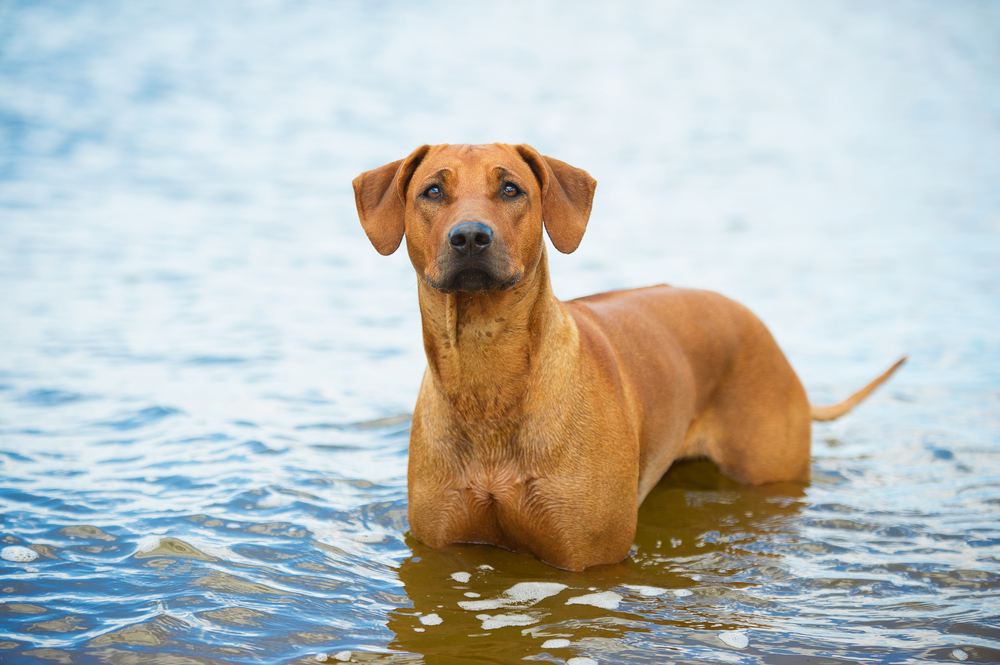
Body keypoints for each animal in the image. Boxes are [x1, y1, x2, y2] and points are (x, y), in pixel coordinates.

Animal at [354, 143, 908, 568]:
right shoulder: (441, 550)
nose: (470, 236)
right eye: (433, 191)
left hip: (768, 469)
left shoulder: (587, 558)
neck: (486, 373)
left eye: (511, 190)